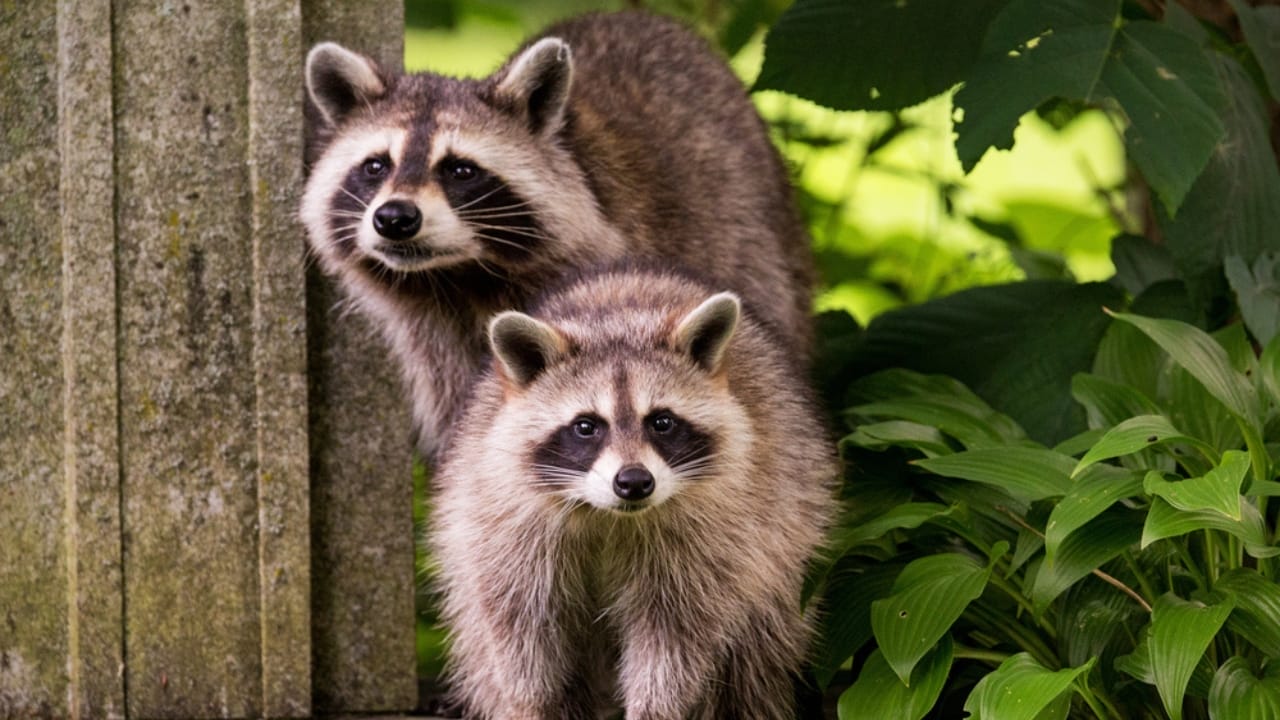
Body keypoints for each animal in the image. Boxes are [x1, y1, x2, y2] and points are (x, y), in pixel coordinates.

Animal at [429, 266, 837, 719]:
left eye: (661, 422)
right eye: (586, 426)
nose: (634, 482)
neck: (607, 514)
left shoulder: (713, 541)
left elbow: (673, 639)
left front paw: (655, 706)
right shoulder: (504, 523)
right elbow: (522, 633)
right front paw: (537, 702)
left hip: (783, 559)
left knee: (755, 659)